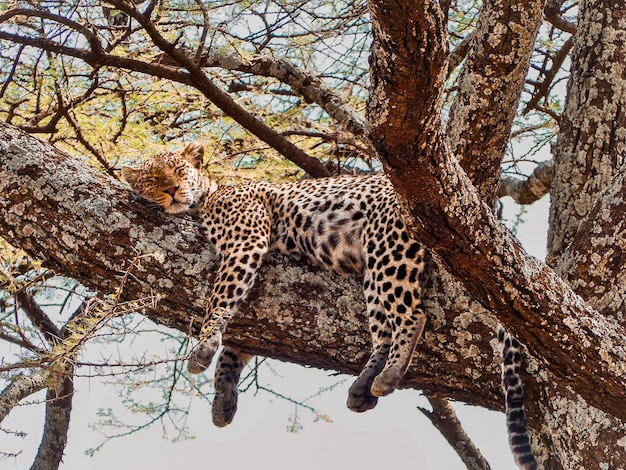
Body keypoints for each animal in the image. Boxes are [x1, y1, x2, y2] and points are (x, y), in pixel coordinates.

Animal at [123, 141, 536, 468]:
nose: (172, 188)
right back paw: (364, 385)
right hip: (372, 268)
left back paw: (388, 376)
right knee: (382, 330)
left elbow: (220, 299)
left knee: (412, 315)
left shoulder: (245, 240)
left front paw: (203, 348)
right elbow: (238, 346)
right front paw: (223, 398)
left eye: (179, 170)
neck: (207, 197)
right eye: (152, 178)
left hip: (388, 247)